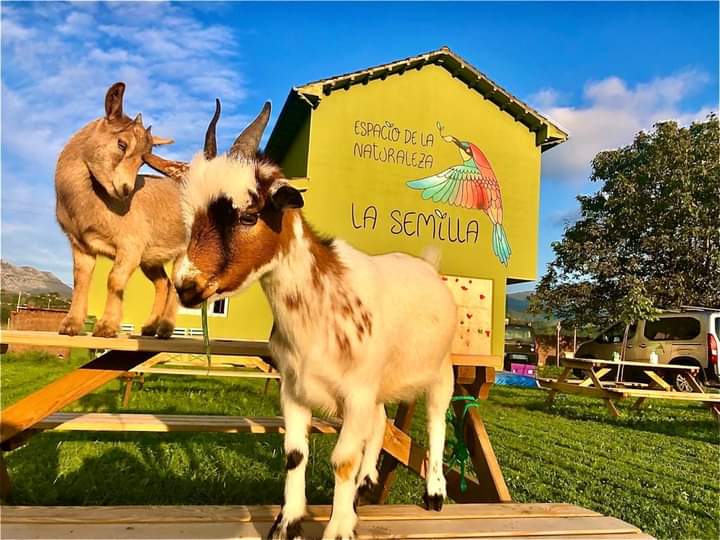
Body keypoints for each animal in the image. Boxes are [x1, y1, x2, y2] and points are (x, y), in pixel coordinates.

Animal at [55, 82, 190, 338]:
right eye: (121, 144)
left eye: (143, 161)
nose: (125, 189)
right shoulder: (81, 245)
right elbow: (81, 279)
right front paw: (70, 325)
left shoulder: (130, 246)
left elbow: (114, 280)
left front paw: (106, 327)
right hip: (151, 259)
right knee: (163, 283)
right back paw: (150, 327)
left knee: (176, 284)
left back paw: (165, 328)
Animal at [154, 100, 457, 540]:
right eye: (191, 217)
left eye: (249, 216)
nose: (187, 285)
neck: (320, 305)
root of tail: (428, 267)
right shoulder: (295, 390)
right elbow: (296, 454)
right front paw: (288, 522)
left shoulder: (357, 391)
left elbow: (342, 460)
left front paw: (339, 528)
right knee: (381, 422)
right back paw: (367, 484)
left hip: (441, 370)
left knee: (436, 423)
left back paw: (434, 493)